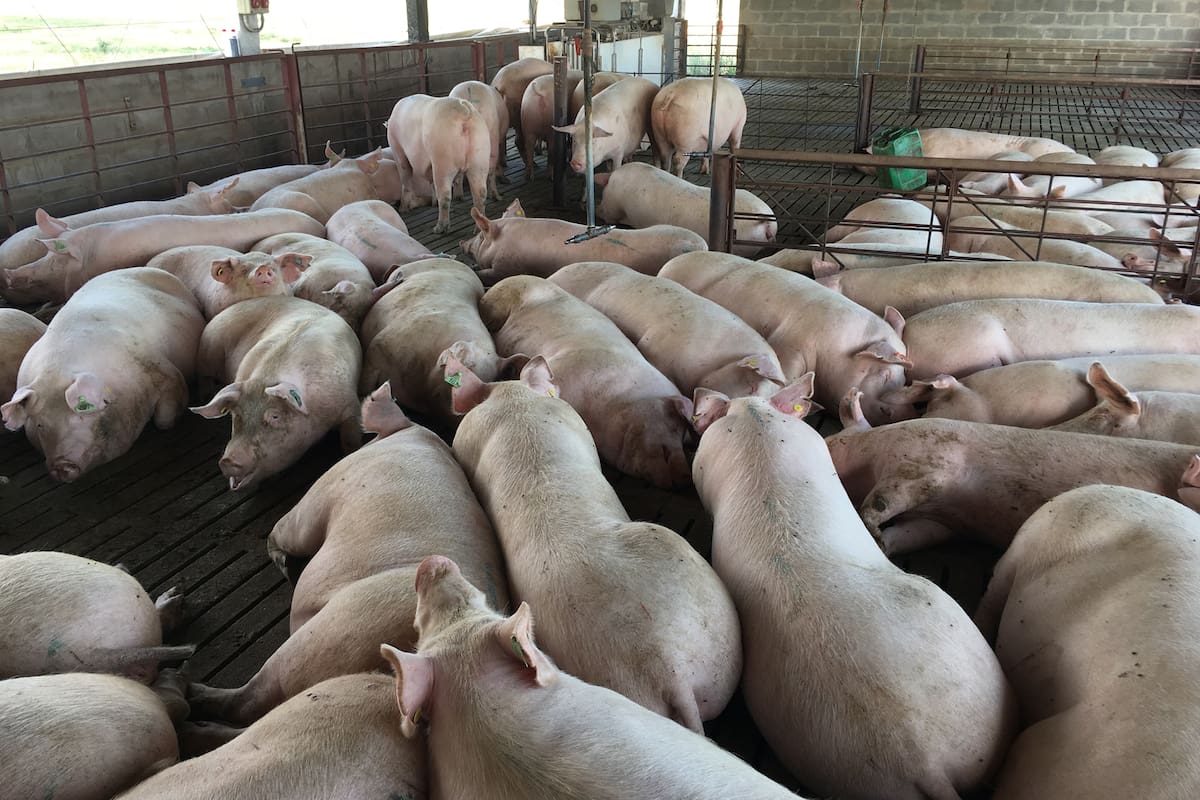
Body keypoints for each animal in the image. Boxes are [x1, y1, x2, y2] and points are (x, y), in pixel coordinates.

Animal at [186, 386, 508, 724]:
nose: (227, 464)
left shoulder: (320, 496)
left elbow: (282, 532)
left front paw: (285, 563)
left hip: (334, 630)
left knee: (249, 700)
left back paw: (192, 693)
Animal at [190, 296, 362, 491]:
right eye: (236, 415)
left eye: (275, 416)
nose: (228, 461)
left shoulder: (350, 402)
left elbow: (350, 439)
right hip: (207, 353)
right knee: (203, 377)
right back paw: (205, 395)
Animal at [386, 94, 492, 233]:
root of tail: (464, 111)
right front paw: (433, 204)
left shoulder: (398, 150)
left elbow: (405, 179)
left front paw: (403, 210)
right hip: (480, 155)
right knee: (480, 193)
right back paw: (478, 229)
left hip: (443, 158)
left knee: (445, 194)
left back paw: (439, 229)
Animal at [659, 251, 914, 425]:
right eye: (884, 373)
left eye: (904, 378)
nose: (904, 413)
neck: (840, 350)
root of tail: (669, 265)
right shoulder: (791, 342)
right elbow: (786, 374)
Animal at [826, 401, 1200, 554]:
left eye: (833, 438)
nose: (823, 442)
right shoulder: (943, 523)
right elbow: (912, 534)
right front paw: (882, 544)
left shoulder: (924, 463)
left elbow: (881, 501)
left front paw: (870, 528)